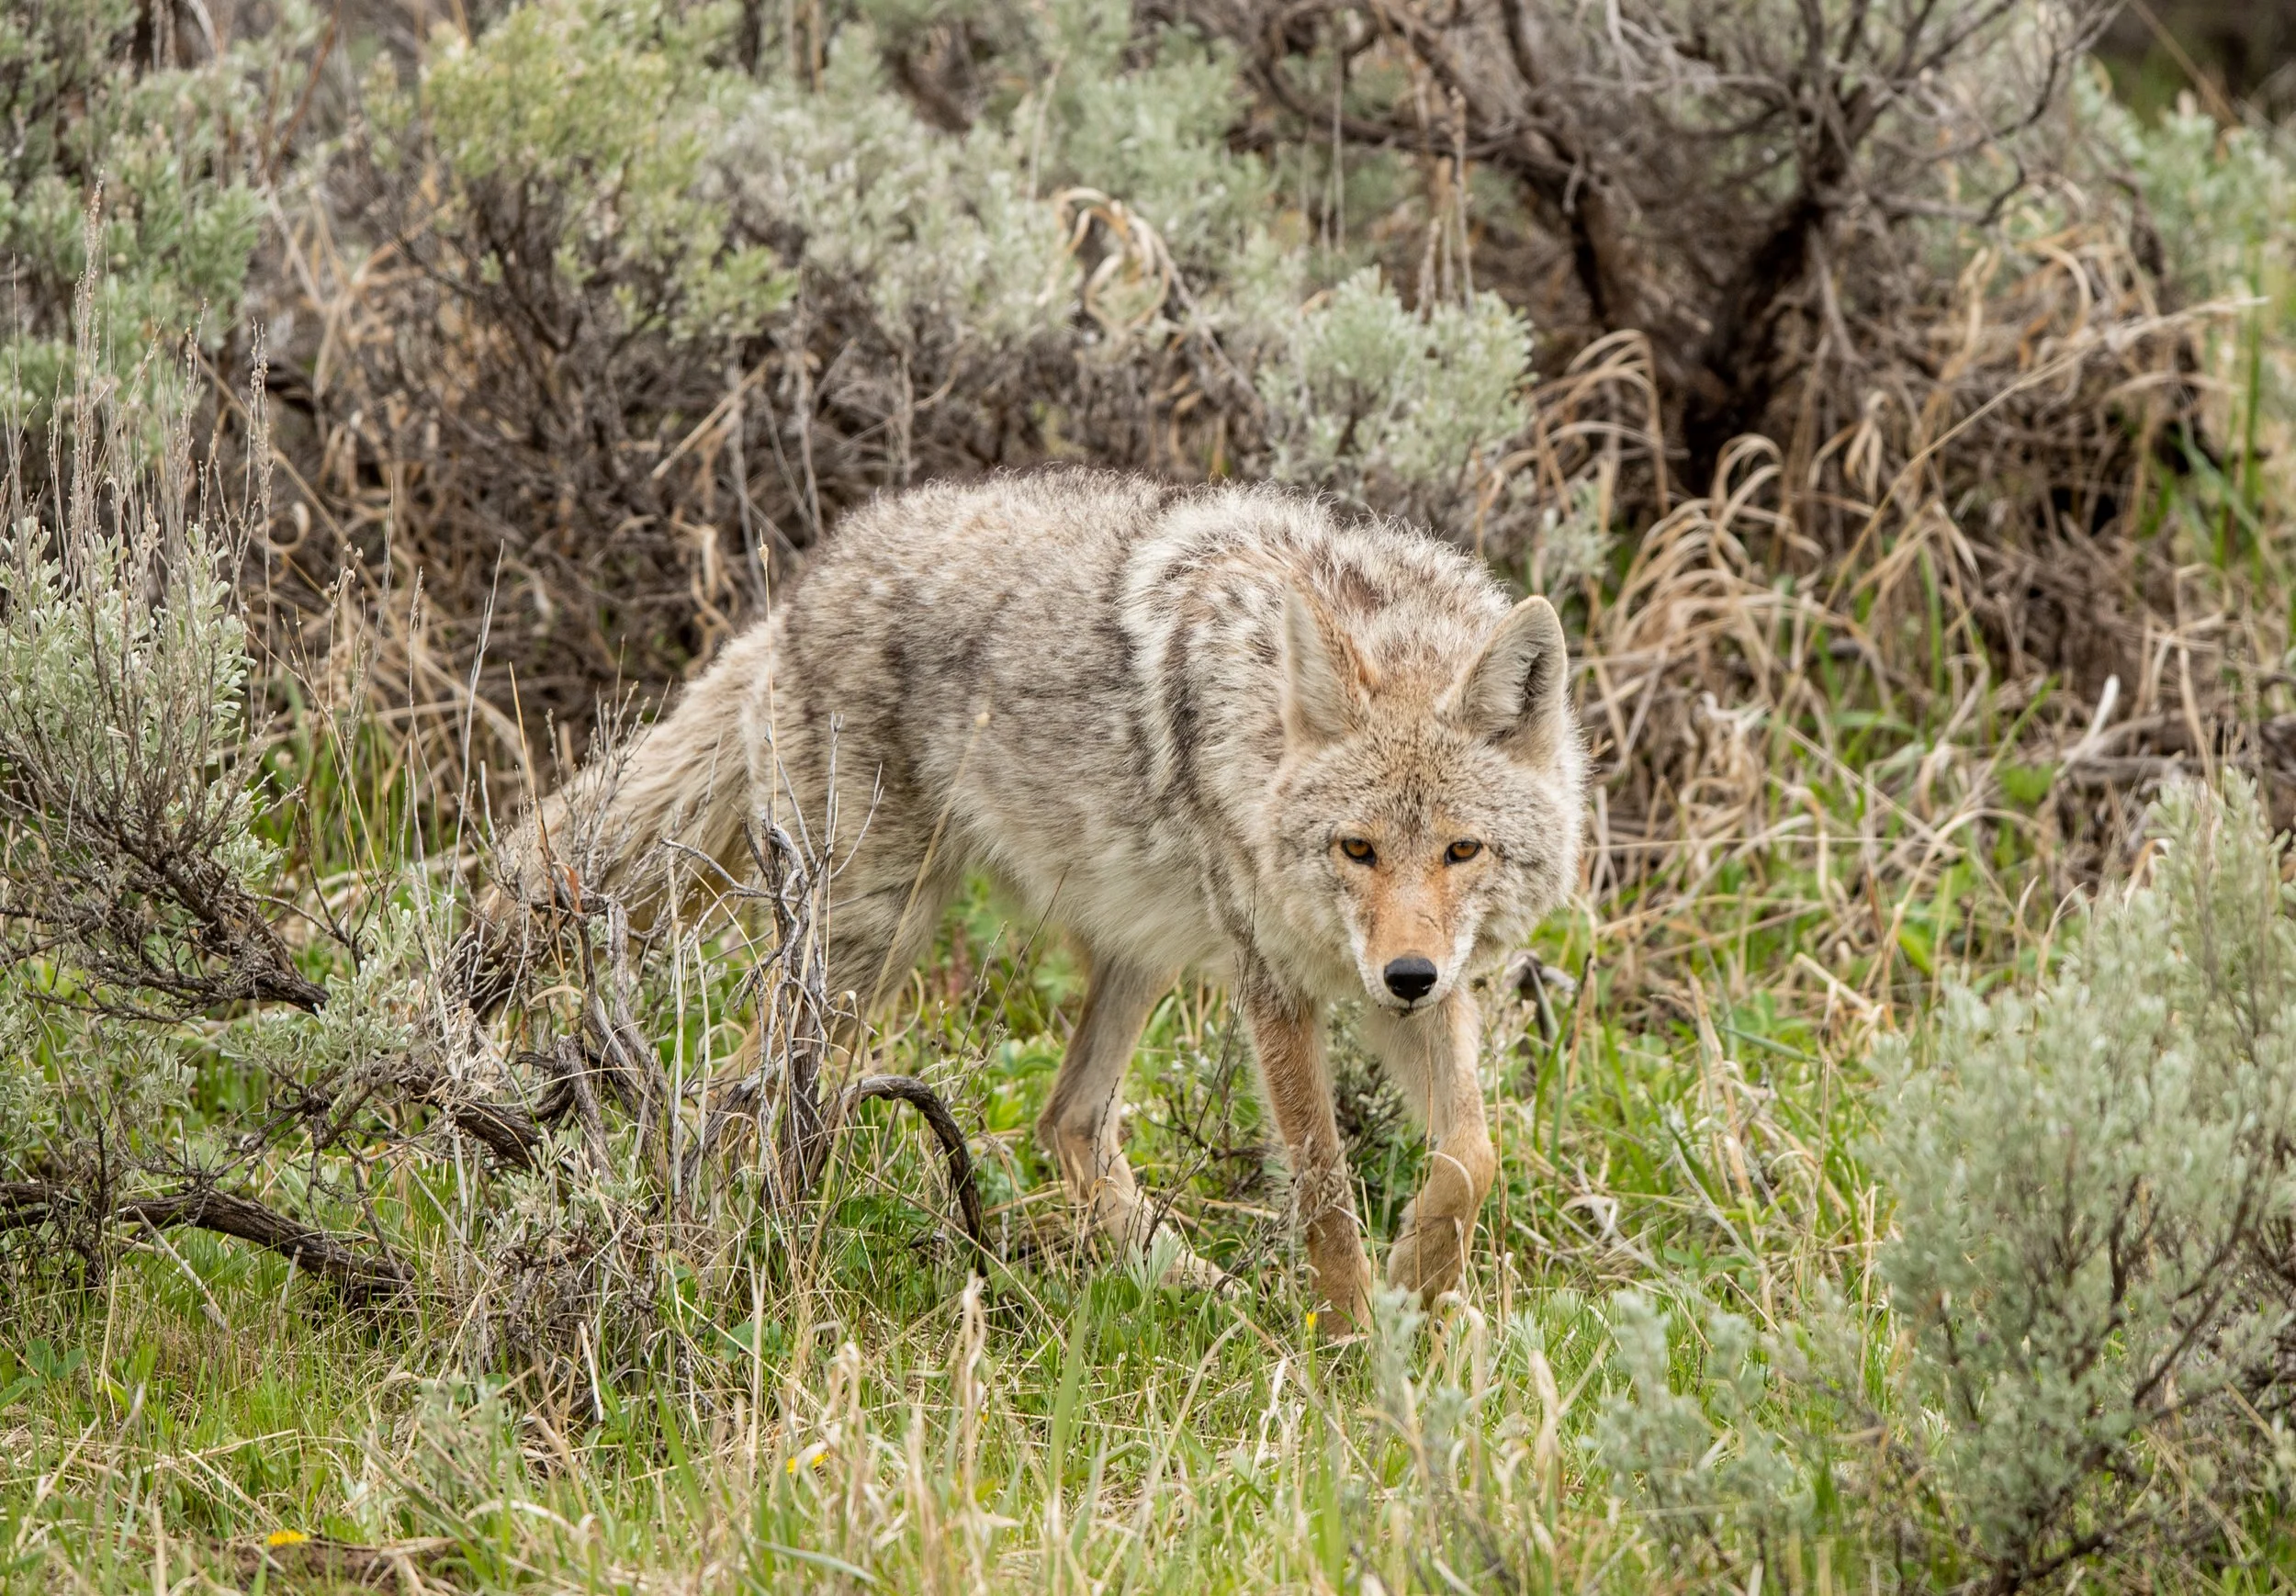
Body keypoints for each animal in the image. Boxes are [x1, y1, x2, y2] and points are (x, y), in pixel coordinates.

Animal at [496, 470, 1585, 1327]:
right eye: (1356, 849)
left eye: (1460, 851)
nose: (1406, 973)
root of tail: (796, 597)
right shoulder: (1274, 986)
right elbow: (1322, 1189)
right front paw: (1357, 1344)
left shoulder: (1420, 994)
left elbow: (1471, 1155)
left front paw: (1419, 1286)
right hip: (869, 947)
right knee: (734, 1101)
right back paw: (724, 1258)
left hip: (1128, 954)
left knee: (1065, 1119)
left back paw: (1206, 1293)